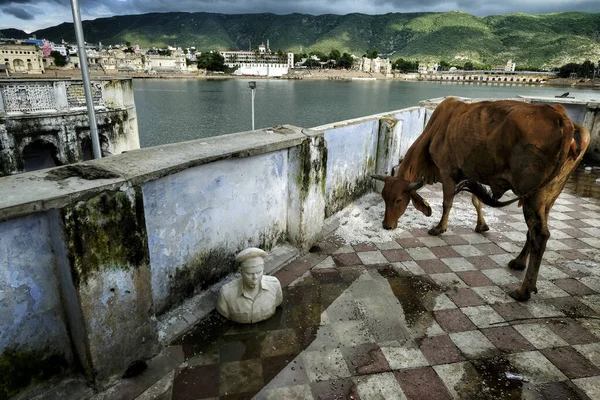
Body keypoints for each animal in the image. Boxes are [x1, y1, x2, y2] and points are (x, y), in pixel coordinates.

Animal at [372, 98, 588, 302]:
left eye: (398, 200)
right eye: (384, 197)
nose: (387, 225)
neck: (437, 130)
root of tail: (563, 120)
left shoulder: (447, 171)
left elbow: (447, 203)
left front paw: (439, 228)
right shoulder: (472, 173)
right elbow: (477, 201)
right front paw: (482, 225)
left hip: (533, 195)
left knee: (540, 235)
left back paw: (523, 290)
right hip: (549, 194)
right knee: (534, 232)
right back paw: (518, 262)